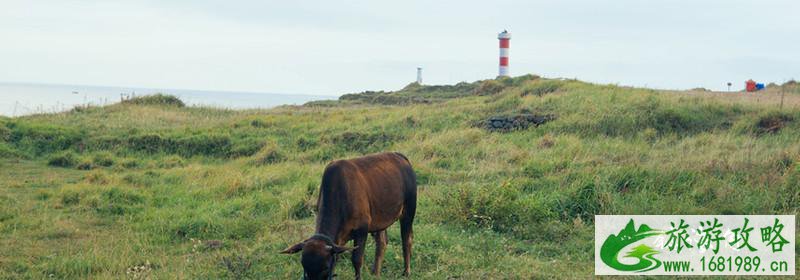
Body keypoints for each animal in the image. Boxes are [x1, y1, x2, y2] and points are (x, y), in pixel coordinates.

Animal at [282, 153, 418, 280]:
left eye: (325, 267)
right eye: (304, 266)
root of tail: (401, 157)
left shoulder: (362, 229)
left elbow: (357, 260)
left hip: (409, 210)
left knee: (406, 240)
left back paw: (406, 272)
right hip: (380, 221)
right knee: (382, 242)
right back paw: (376, 273)